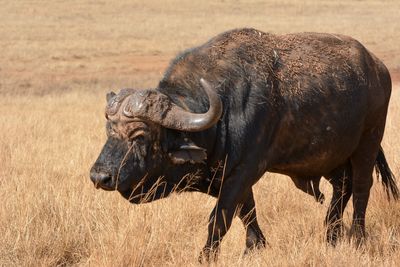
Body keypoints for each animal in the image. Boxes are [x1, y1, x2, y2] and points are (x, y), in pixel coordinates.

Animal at [90, 28, 396, 260]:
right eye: (109, 130)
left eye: (139, 136)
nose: (99, 177)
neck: (219, 120)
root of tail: (379, 68)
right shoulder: (228, 174)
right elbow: (246, 211)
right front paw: (256, 245)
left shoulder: (243, 170)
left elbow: (220, 218)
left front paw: (206, 257)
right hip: (332, 157)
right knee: (342, 188)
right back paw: (331, 235)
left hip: (368, 143)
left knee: (361, 188)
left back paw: (357, 236)